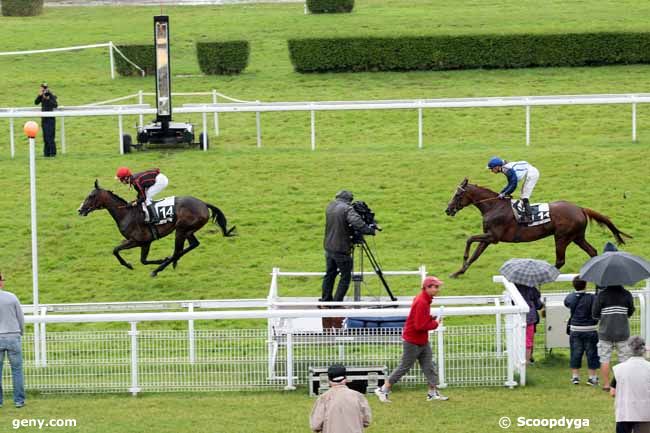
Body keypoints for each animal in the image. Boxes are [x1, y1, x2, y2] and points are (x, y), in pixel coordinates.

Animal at [78, 180, 235, 276]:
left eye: (91, 196)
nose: (80, 210)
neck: (127, 213)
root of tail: (203, 204)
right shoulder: (143, 243)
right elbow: (141, 259)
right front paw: (159, 260)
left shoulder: (138, 241)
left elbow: (116, 250)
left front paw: (129, 265)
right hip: (188, 230)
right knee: (193, 245)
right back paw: (171, 262)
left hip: (181, 229)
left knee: (178, 250)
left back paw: (159, 268)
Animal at [442, 178, 632, 276]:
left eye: (457, 194)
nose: (448, 210)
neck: (493, 206)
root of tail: (580, 208)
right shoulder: (488, 237)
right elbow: (476, 254)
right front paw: (458, 272)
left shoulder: (493, 237)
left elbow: (469, 239)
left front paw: (463, 260)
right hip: (577, 237)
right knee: (592, 251)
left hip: (562, 237)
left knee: (560, 260)